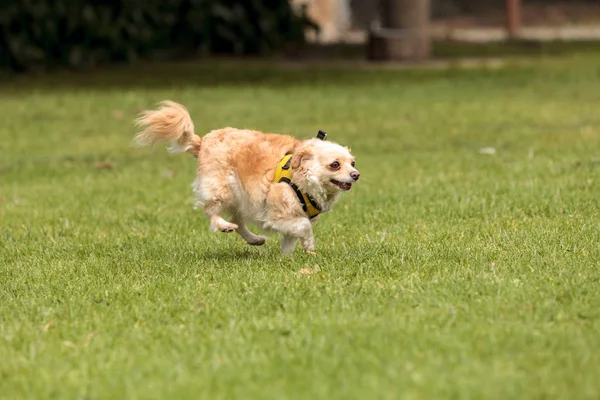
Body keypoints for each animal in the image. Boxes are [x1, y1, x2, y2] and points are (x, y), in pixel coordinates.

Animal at [134, 101, 358, 255]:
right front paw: (309, 245)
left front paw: (288, 258)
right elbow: (304, 226)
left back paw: (254, 239)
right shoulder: (277, 214)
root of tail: (203, 141)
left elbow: (290, 239)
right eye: (335, 164)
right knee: (211, 211)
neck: (301, 180)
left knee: (238, 222)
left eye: (353, 163)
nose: (356, 175)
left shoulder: (287, 219)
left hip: (243, 200)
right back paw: (223, 225)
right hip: (223, 189)